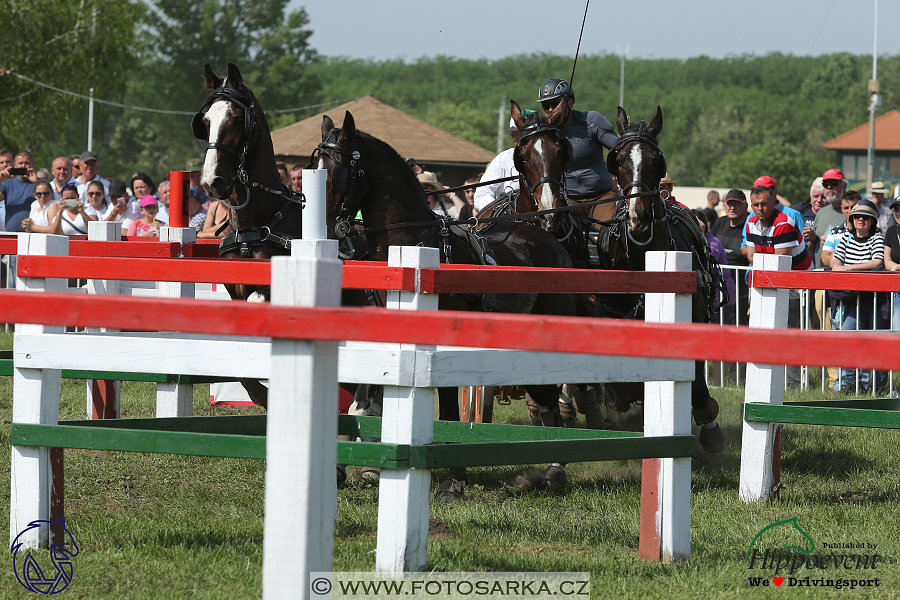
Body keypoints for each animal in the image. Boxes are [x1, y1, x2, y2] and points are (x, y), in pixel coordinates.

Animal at [320, 109, 580, 492]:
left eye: (337, 170)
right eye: (313, 165)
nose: (322, 230)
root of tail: (545, 235)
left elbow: (446, 409)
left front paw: (454, 480)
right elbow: (363, 402)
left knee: (551, 394)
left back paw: (556, 468)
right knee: (544, 400)